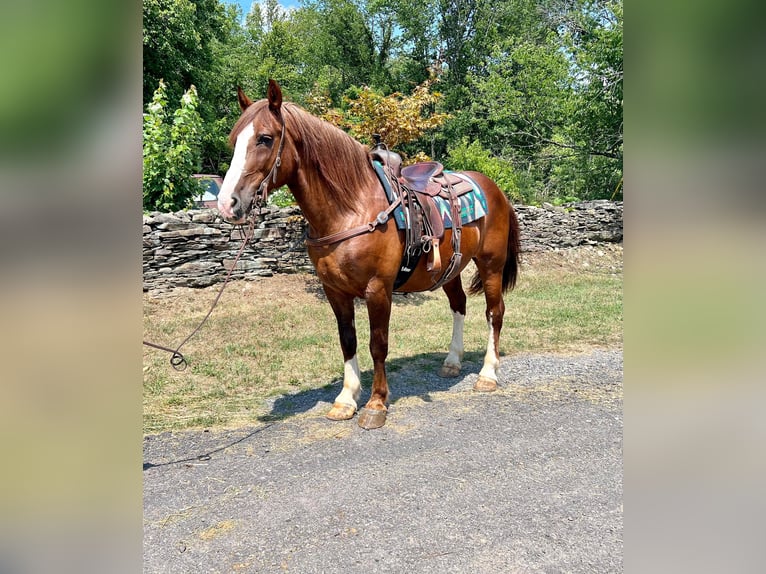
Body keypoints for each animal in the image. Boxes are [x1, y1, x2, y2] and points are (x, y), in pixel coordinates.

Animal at [219, 82, 524, 432]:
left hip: (491, 264)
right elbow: (348, 340)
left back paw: (488, 374)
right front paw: (346, 399)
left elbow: (378, 344)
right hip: (451, 268)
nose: (227, 203)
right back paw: (452, 362)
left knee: (494, 312)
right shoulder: (335, 291)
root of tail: (495, 190)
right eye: (234, 140)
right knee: (459, 305)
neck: (351, 208)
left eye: (265, 138)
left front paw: (376, 404)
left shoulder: (378, 289)